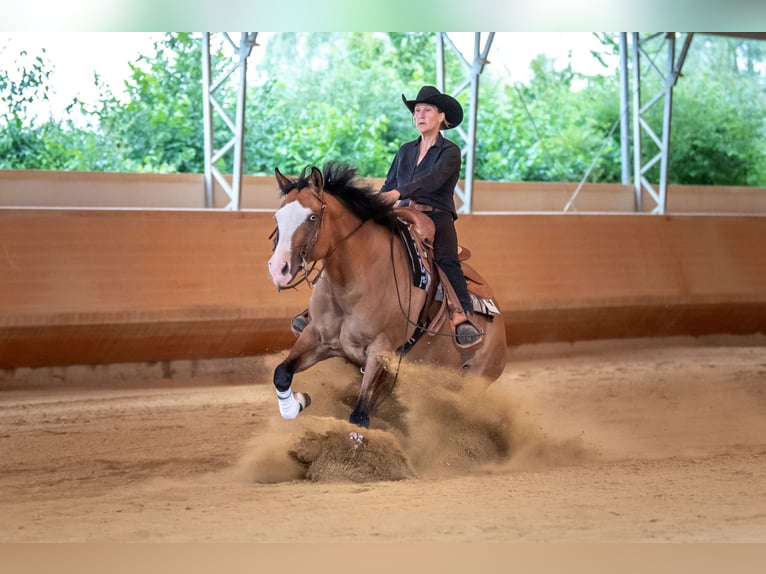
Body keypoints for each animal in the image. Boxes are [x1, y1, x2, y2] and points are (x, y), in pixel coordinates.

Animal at [268, 160, 508, 430]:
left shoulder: (379, 351)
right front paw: (297, 404)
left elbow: (359, 416)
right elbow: (281, 373)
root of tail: (499, 323)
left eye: (312, 217)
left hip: (472, 382)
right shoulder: (316, 337)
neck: (354, 283)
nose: (278, 268)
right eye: (277, 216)